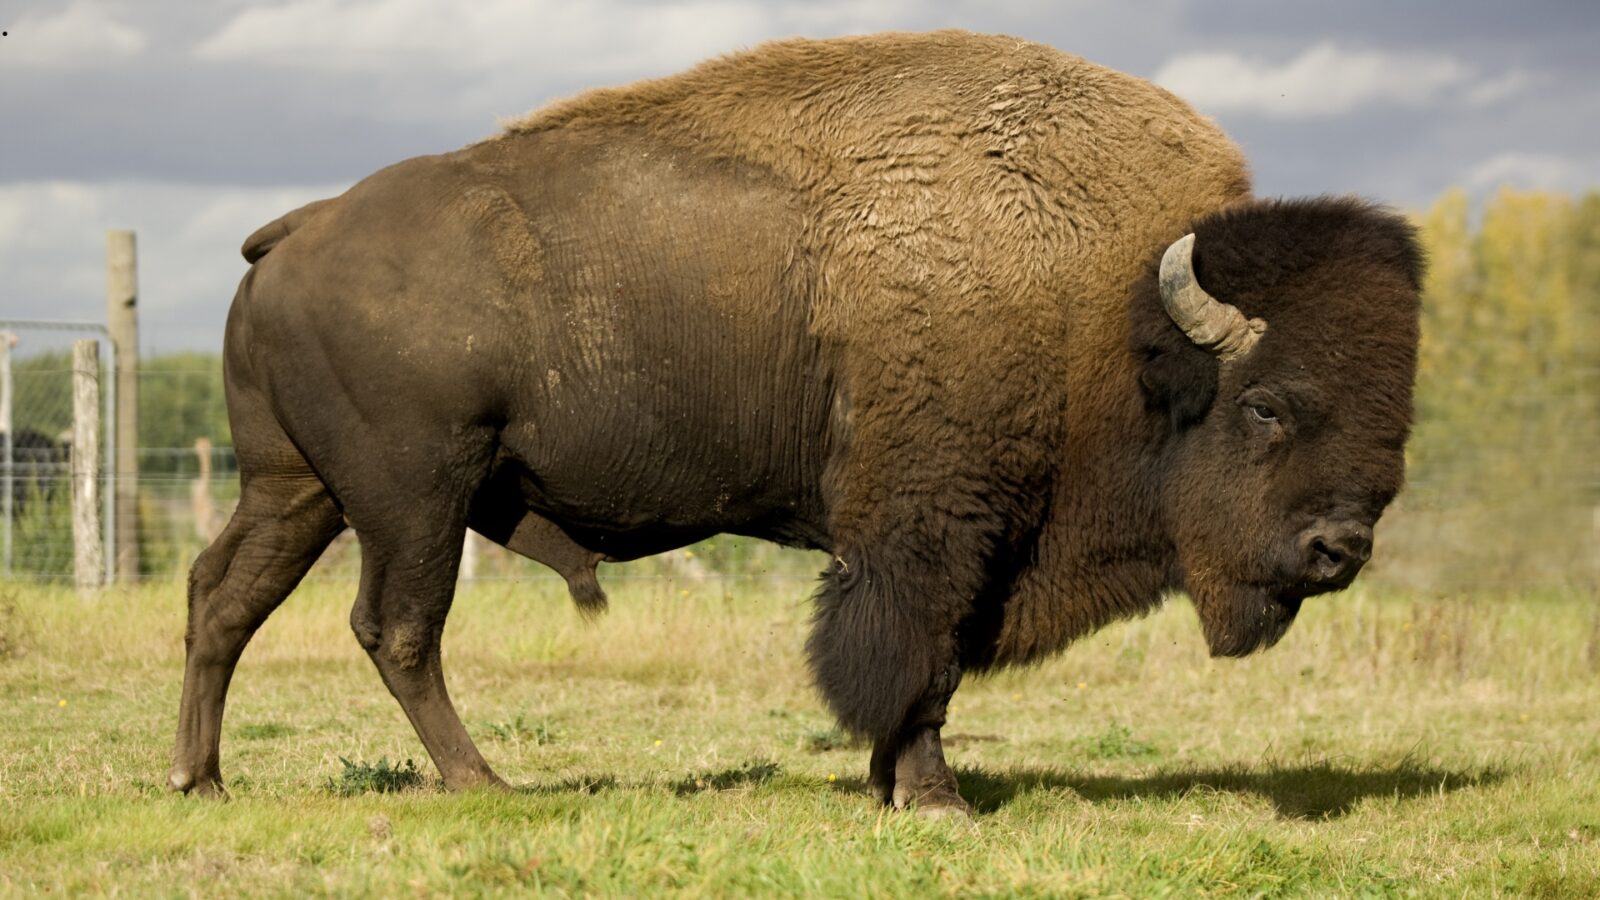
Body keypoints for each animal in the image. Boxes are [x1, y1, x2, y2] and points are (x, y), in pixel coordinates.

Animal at [170, 31, 1422, 816]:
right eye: (1265, 404)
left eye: (1396, 414)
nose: (1339, 549)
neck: (1106, 307)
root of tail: (300, 228)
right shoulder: (930, 537)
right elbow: (916, 663)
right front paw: (934, 800)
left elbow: (929, 670)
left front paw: (897, 789)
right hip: (411, 495)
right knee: (396, 628)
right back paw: (480, 784)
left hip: (295, 487)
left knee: (225, 596)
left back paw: (201, 779)